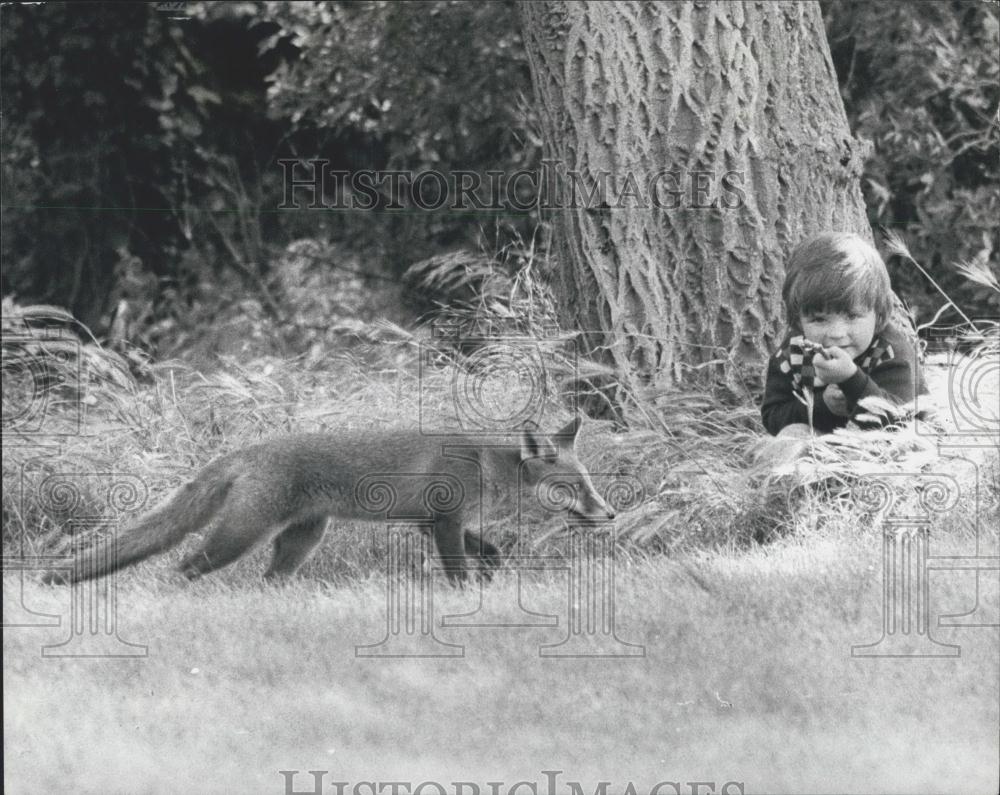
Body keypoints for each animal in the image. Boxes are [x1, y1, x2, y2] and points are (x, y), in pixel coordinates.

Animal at [43, 416, 612, 584]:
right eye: (574, 487)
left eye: (589, 482)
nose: (610, 513)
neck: (486, 464)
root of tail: (245, 451)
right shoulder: (445, 521)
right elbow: (457, 571)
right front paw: (467, 595)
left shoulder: (428, 520)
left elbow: (488, 551)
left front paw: (491, 576)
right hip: (239, 535)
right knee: (184, 567)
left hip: (302, 541)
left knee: (269, 581)